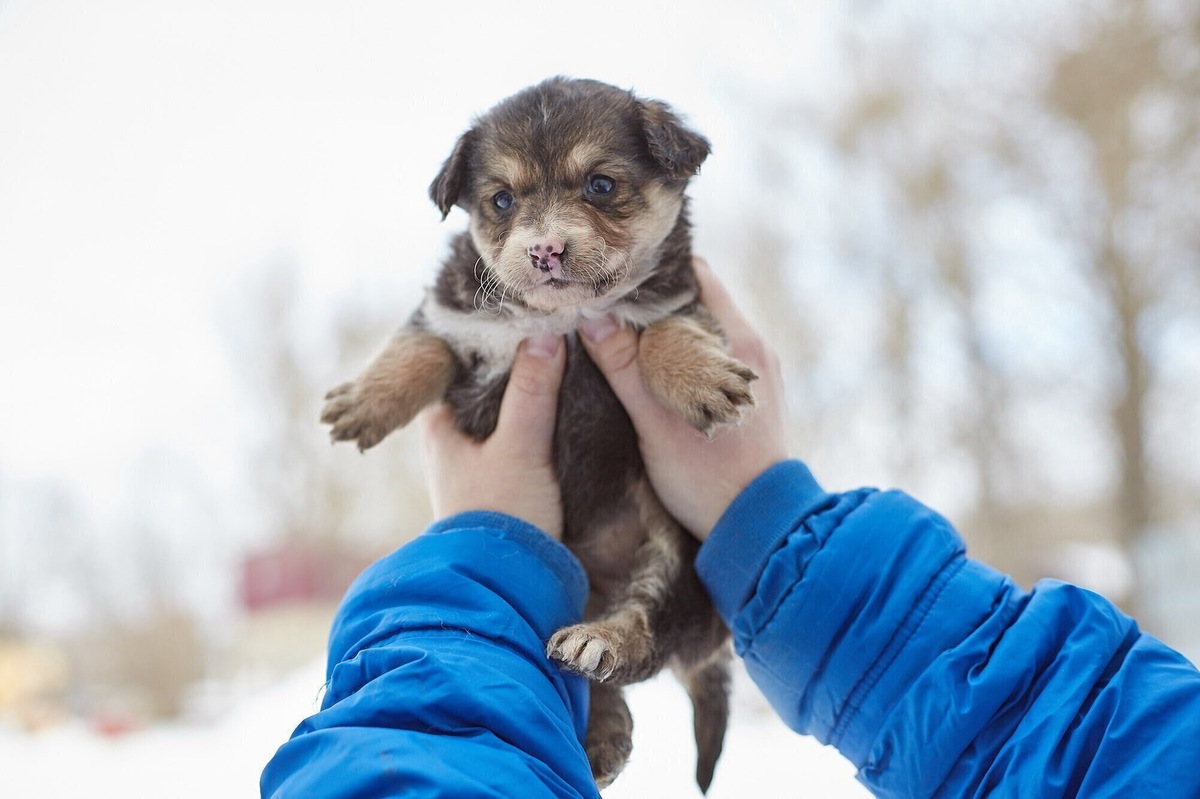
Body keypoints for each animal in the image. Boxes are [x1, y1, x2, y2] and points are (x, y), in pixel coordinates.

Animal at [319, 76, 748, 791]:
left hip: (677, 562)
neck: (566, 318)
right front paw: (364, 401)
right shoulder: (454, 313)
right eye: (502, 200)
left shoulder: (681, 300)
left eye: (600, 185)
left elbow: (665, 331)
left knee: (639, 633)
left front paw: (703, 380)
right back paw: (603, 734)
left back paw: (600, 644)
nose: (545, 250)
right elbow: (420, 345)